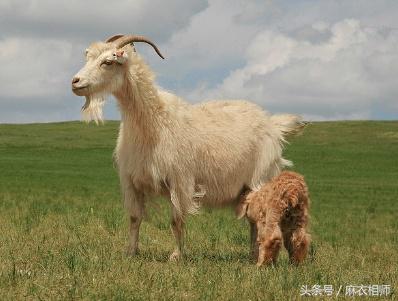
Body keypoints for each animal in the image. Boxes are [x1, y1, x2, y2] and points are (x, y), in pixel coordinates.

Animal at [72, 34, 302, 260]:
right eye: (87, 57)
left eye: (108, 62)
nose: (75, 82)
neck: (154, 121)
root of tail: (272, 124)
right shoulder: (132, 180)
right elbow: (134, 218)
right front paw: (130, 252)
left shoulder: (179, 180)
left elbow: (176, 221)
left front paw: (176, 256)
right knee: (253, 220)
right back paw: (252, 254)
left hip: (261, 178)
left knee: (262, 218)